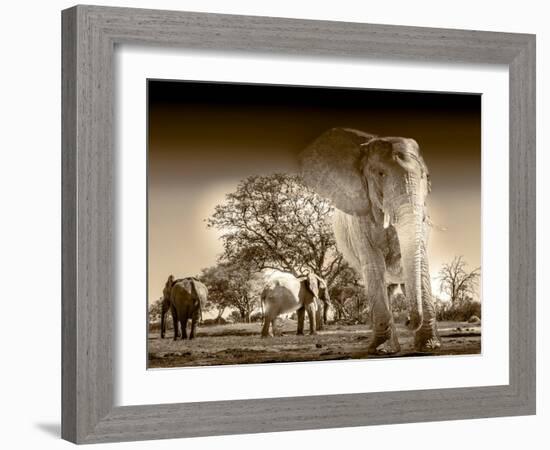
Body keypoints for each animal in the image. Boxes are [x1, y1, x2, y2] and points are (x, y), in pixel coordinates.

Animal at [300, 127, 442, 356]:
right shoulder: (359, 217)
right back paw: (389, 347)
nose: (407, 321)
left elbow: (421, 262)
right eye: (380, 174)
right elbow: (374, 264)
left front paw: (429, 346)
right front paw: (380, 349)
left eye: (425, 177)